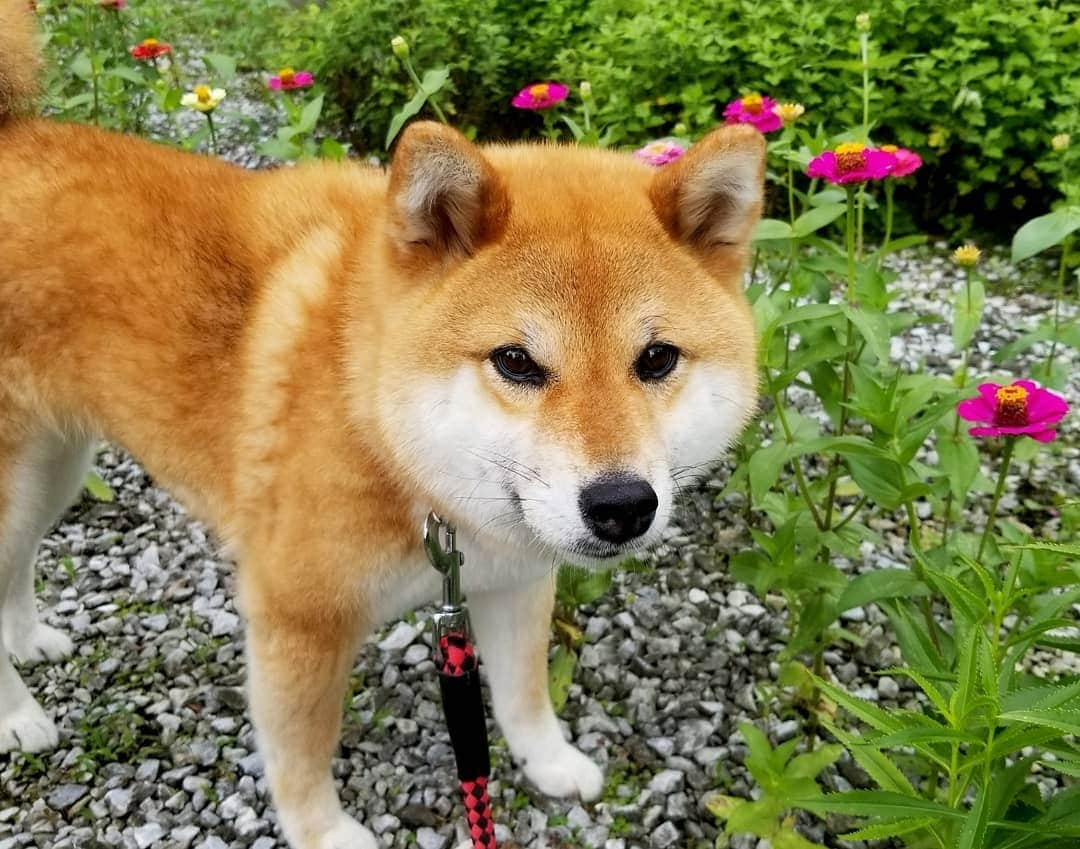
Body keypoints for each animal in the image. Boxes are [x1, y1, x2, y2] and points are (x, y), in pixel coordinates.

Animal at [0, 3, 760, 842]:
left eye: (656, 359)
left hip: (55, 469)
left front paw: (551, 761)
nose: (622, 504)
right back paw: (16, 715)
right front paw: (325, 832)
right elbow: (301, 754)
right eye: (516, 361)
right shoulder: (297, 615)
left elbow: (524, 693)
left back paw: (29, 639)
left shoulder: (515, 576)